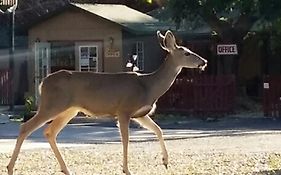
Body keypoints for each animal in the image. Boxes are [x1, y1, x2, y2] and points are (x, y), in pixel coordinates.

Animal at [6, 30, 206, 175]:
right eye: (187, 53)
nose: (204, 61)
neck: (149, 86)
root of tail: (42, 83)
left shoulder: (140, 114)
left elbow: (158, 130)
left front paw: (165, 161)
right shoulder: (124, 109)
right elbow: (126, 139)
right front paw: (126, 169)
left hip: (69, 109)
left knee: (50, 131)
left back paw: (66, 169)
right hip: (52, 105)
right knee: (26, 127)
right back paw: (10, 168)